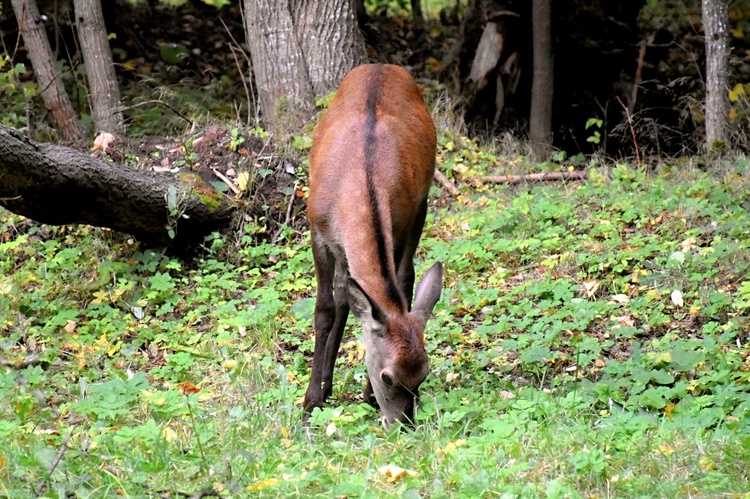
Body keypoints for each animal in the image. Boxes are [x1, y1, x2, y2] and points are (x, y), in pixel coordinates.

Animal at [302, 62, 444, 430]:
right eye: (388, 377)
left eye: (423, 376)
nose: (404, 424)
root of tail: (382, 64)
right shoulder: (316, 228)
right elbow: (324, 308)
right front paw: (310, 401)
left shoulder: (400, 221)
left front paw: (364, 395)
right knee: (343, 293)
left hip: (422, 203)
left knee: (402, 278)